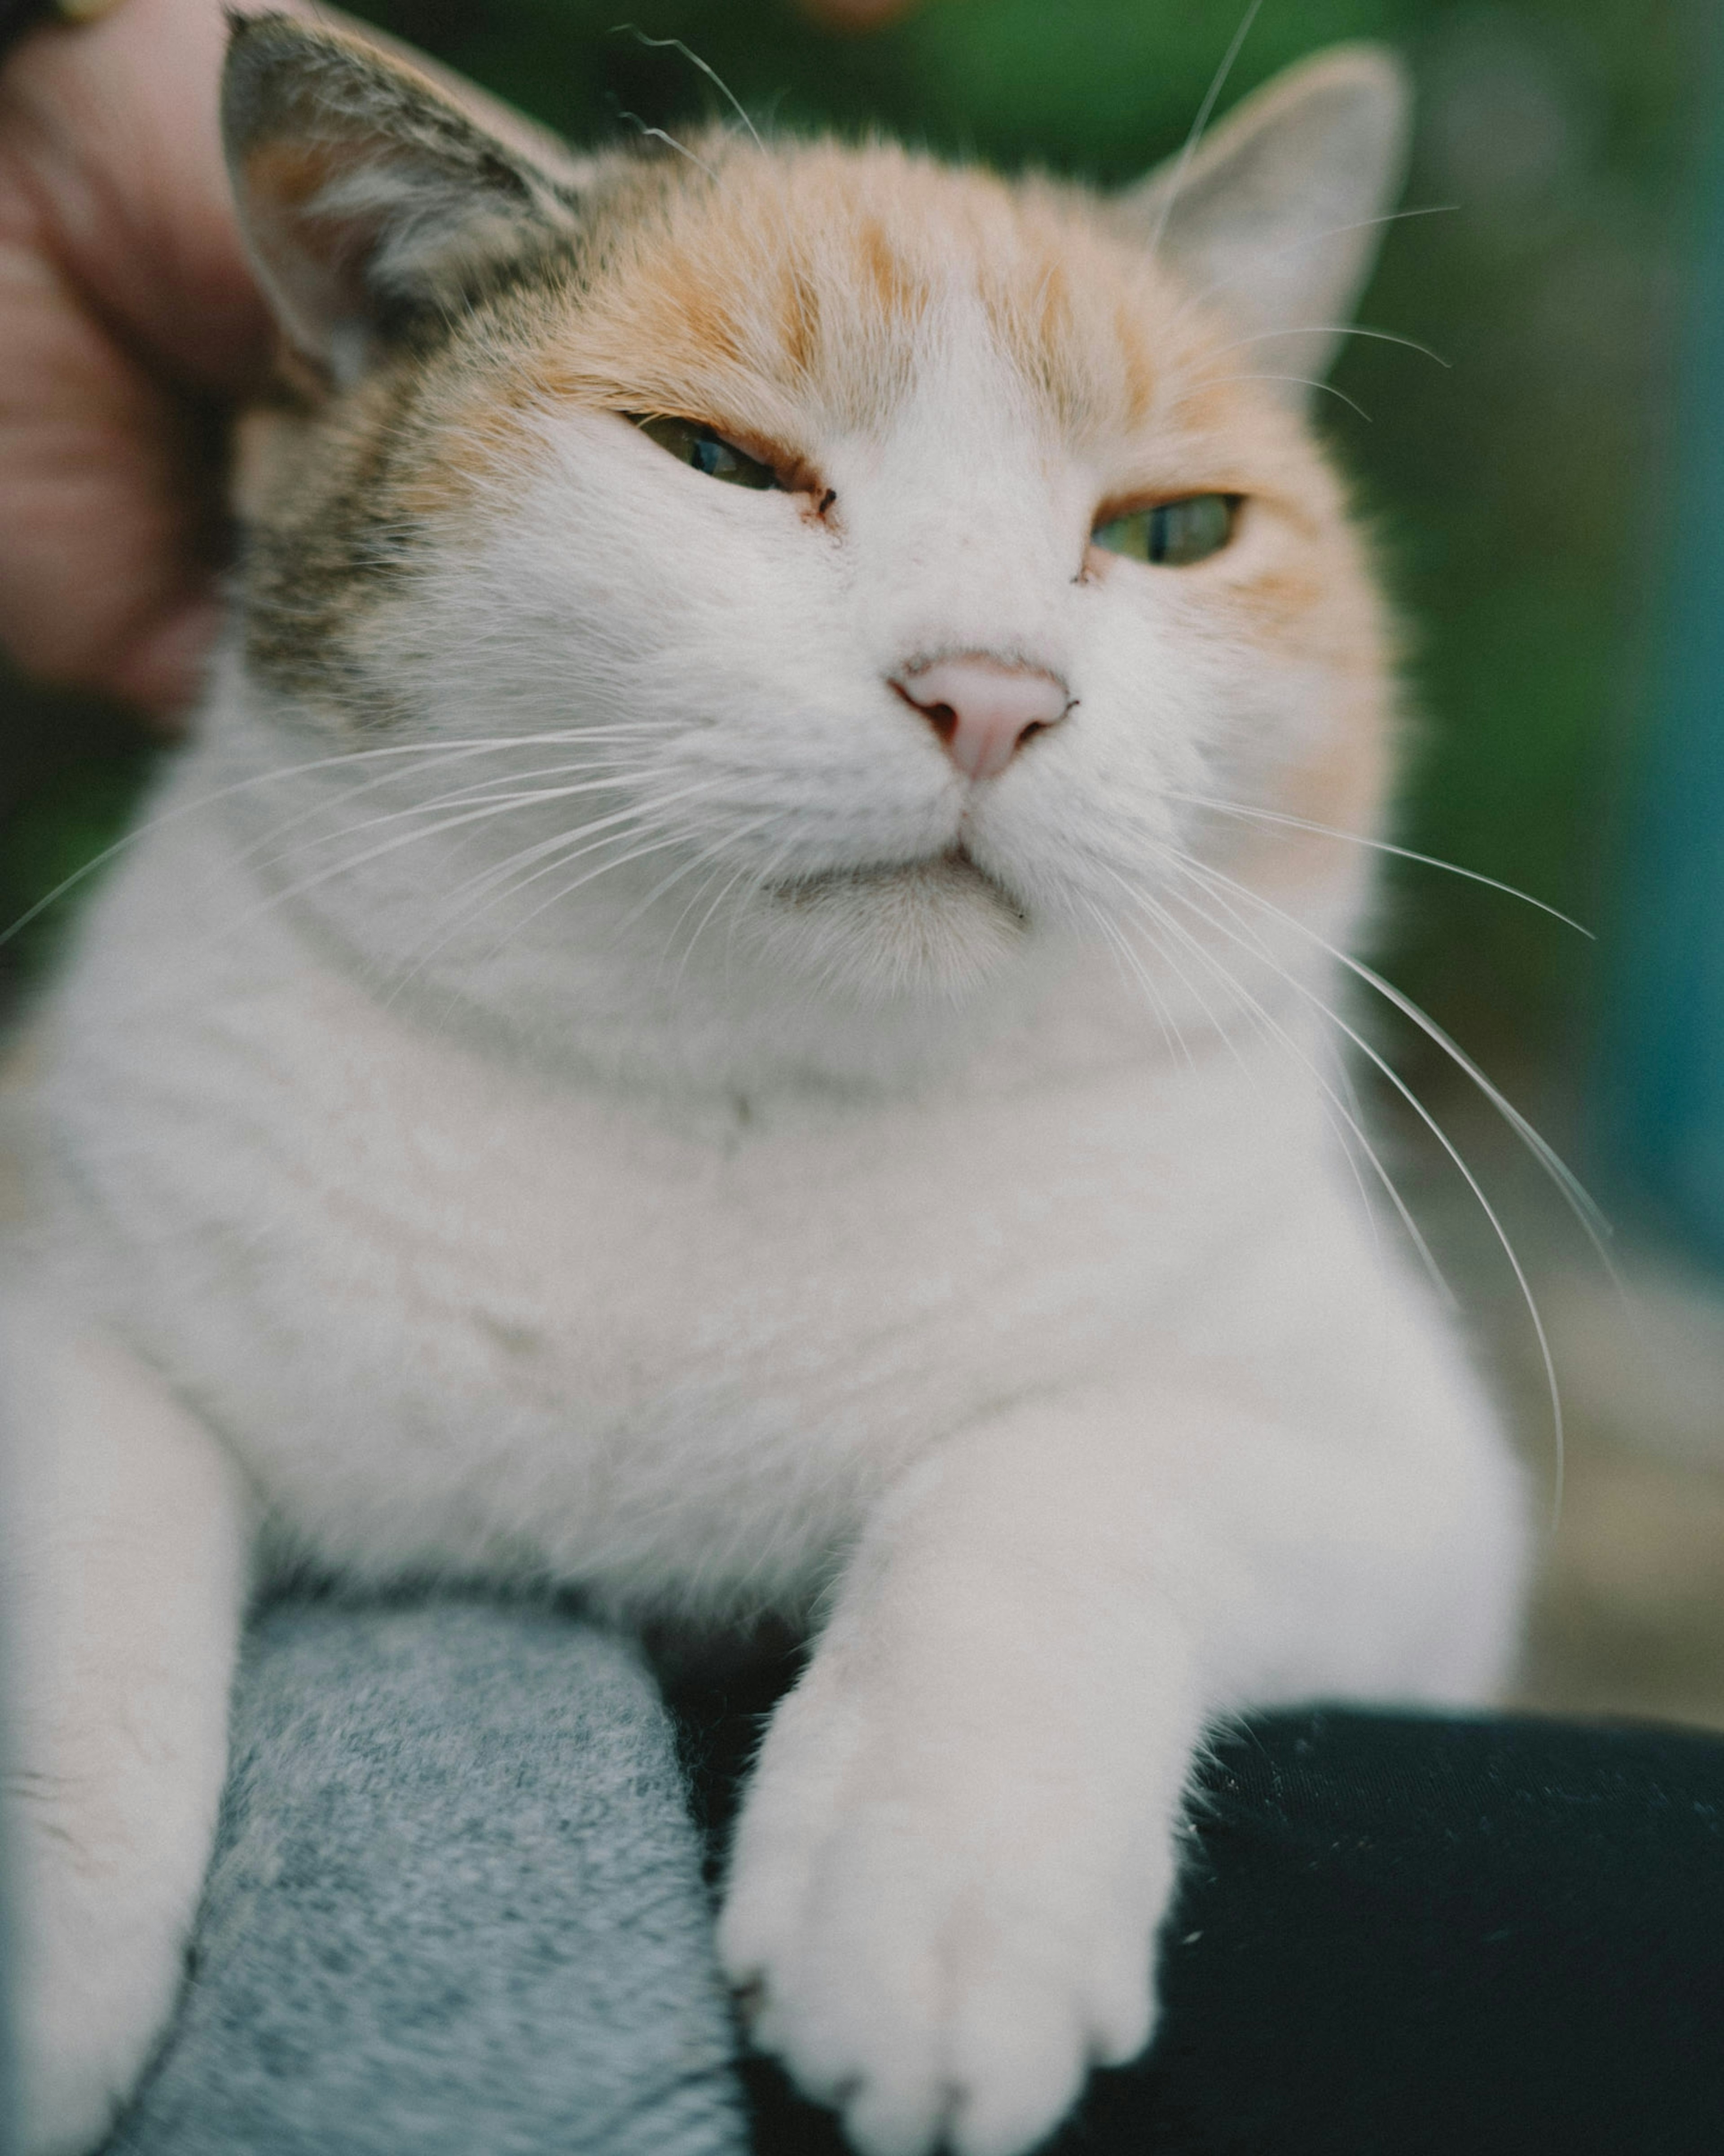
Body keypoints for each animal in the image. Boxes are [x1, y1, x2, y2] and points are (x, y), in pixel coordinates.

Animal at [0, 17, 1526, 2156]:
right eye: (722, 461)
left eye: (1171, 530)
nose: (993, 692)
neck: (738, 1112)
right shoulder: (50, 1274)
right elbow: (79, 1568)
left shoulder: (1410, 1481)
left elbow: (1057, 1466)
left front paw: (933, 1898)